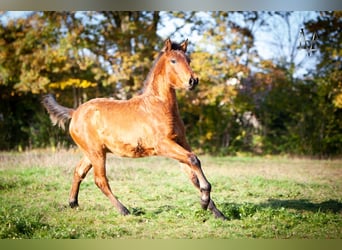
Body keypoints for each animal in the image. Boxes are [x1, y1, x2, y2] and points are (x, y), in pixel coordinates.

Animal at [42, 38, 227, 220]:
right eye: (173, 60)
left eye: (188, 60)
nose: (193, 81)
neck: (159, 106)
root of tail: (74, 112)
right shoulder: (163, 145)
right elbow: (194, 159)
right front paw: (204, 201)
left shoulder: (180, 142)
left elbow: (193, 174)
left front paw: (216, 211)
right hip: (96, 153)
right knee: (100, 180)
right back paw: (123, 210)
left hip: (91, 153)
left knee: (79, 172)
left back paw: (73, 203)